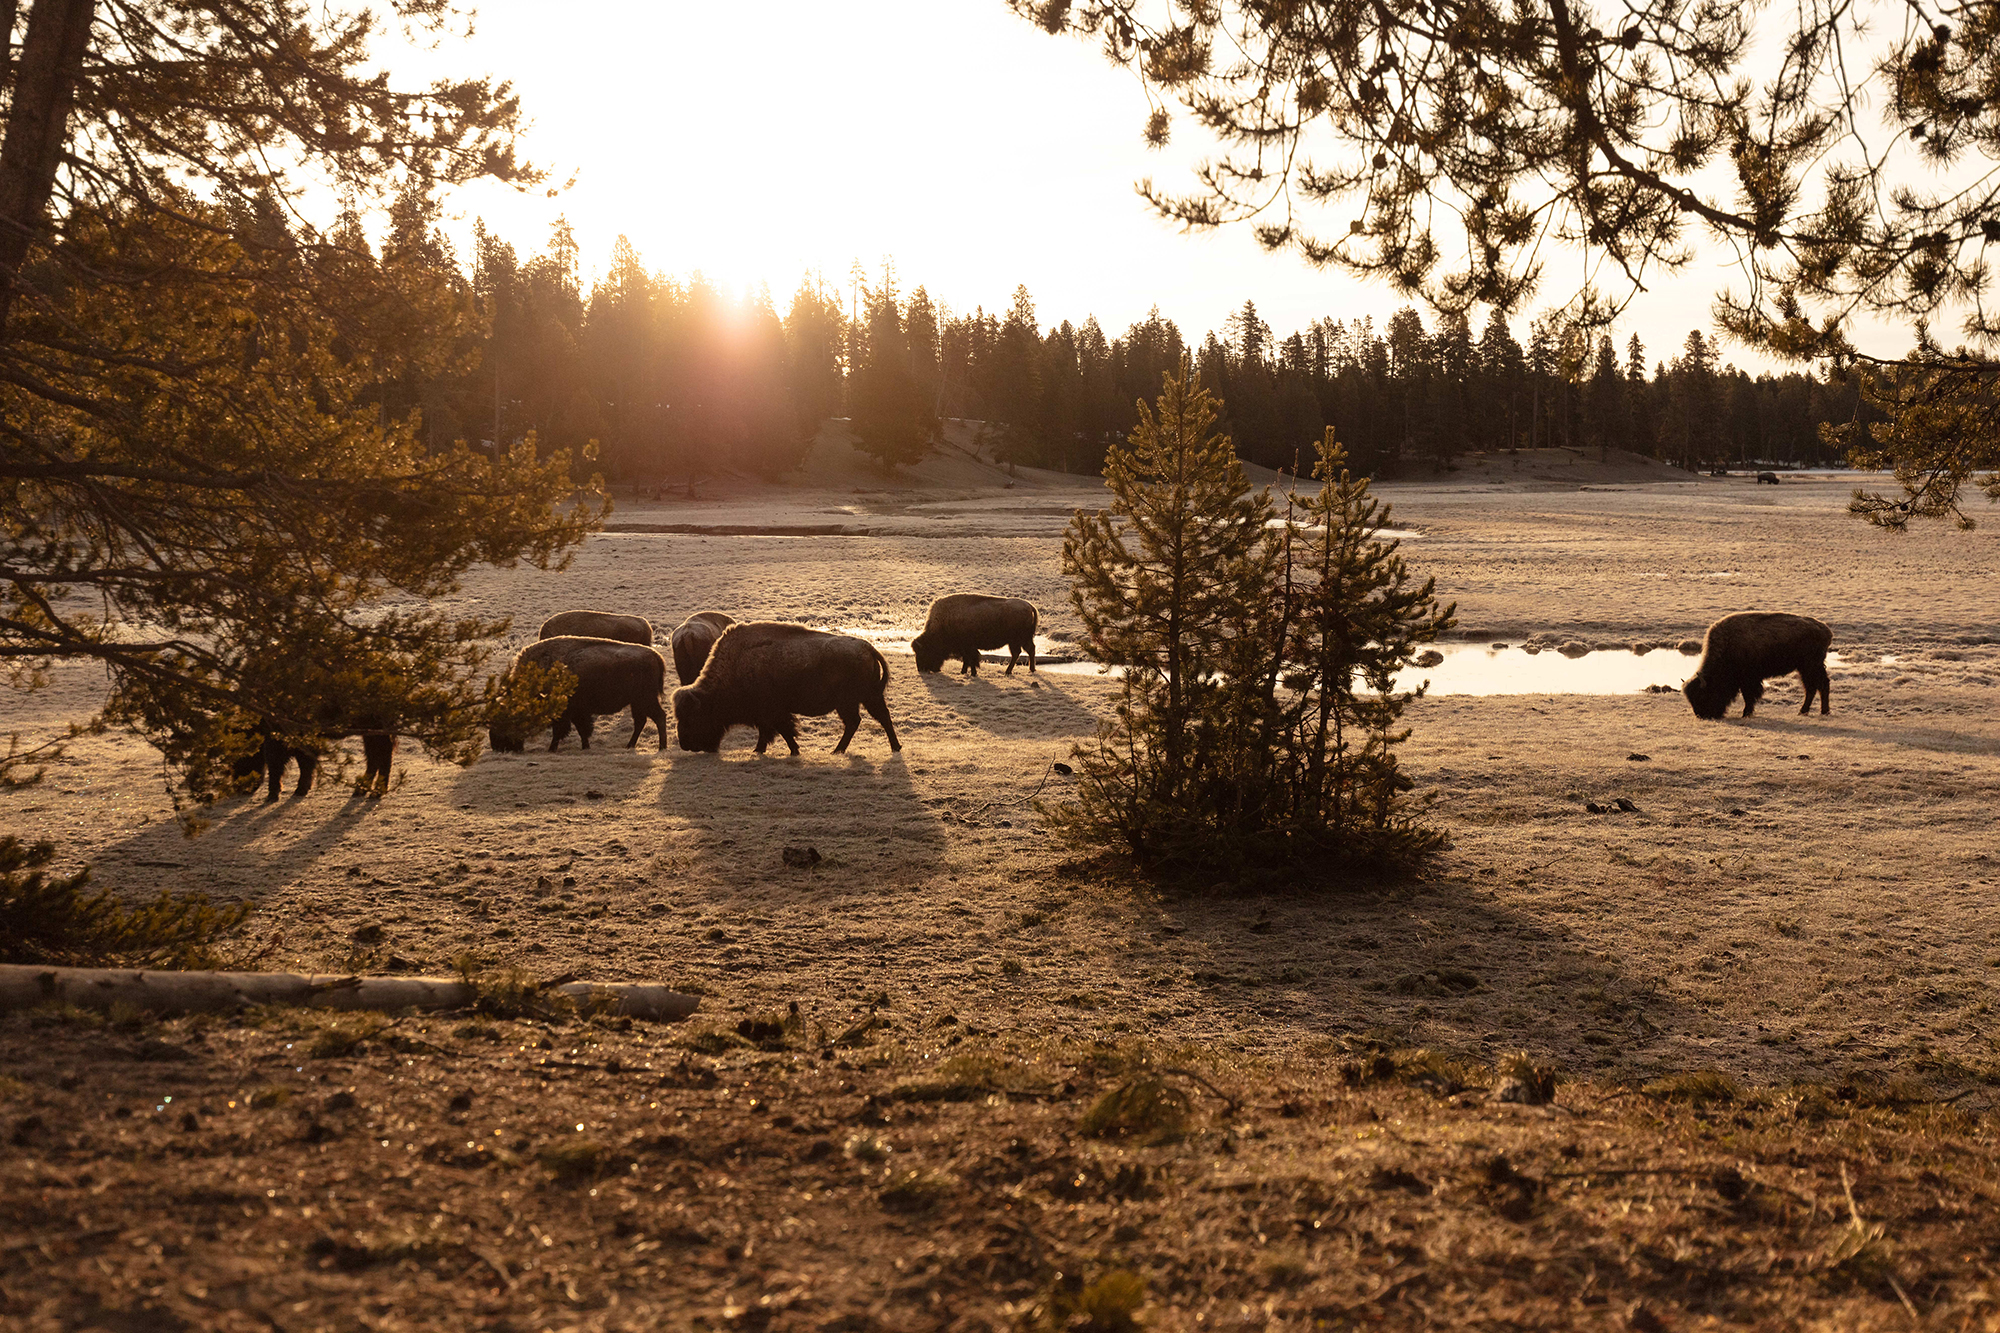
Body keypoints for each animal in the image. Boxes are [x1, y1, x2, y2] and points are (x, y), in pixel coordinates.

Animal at [492, 632, 672, 748]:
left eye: (507, 719)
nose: (498, 746)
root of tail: (655, 655)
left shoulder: (567, 712)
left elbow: (564, 730)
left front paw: (553, 748)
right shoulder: (576, 712)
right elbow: (581, 730)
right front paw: (585, 746)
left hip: (645, 699)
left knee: (658, 717)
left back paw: (661, 747)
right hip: (637, 702)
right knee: (641, 721)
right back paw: (630, 745)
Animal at [676, 620, 904, 752]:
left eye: (693, 717)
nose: (685, 744)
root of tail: (868, 647)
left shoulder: (772, 712)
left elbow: (783, 731)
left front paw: (789, 750)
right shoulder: (767, 714)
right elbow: (772, 731)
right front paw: (761, 750)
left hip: (855, 700)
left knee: (863, 721)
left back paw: (842, 750)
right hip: (864, 699)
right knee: (872, 719)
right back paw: (890, 747)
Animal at [908, 592, 1040, 676]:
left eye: (924, 651)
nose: (921, 669)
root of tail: (1029, 606)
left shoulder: (968, 646)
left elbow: (971, 658)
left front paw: (972, 673)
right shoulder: (965, 647)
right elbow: (967, 659)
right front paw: (964, 672)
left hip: (1019, 639)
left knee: (1024, 651)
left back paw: (1017, 671)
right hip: (1018, 640)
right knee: (1024, 651)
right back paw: (1020, 670)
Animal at [1680, 608, 1832, 716]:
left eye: (1703, 695)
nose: (1701, 715)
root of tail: (1825, 629)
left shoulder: (1748, 680)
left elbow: (1749, 696)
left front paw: (1746, 713)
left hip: (1809, 667)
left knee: (1817, 686)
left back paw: (1813, 711)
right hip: (1807, 668)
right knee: (1815, 687)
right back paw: (1811, 711)